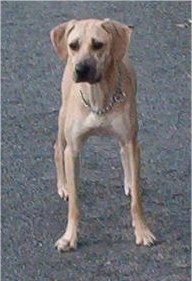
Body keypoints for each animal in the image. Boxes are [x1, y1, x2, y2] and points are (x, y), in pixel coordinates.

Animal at [50, 18, 156, 250]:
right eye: (73, 45)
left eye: (98, 45)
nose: (81, 68)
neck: (98, 99)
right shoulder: (73, 150)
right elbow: (75, 205)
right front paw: (70, 237)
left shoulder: (131, 141)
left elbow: (136, 201)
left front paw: (142, 231)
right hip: (62, 120)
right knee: (57, 148)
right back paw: (63, 186)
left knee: (124, 155)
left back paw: (129, 182)